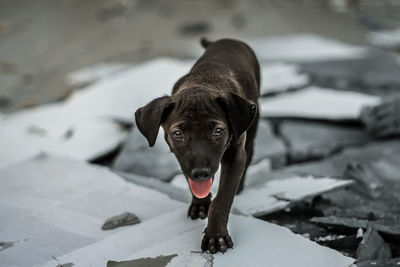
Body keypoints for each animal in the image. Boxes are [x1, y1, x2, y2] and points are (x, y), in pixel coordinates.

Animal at [135, 38, 260, 255]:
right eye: (178, 134)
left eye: (218, 131)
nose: (201, 173)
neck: (203, 82)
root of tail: (225, 39)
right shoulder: (183, 159)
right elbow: (190, 181)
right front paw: (200, 204)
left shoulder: (235, 157)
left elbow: (222, 199)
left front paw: (216, 237)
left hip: (253, 121)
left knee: (250, 150)